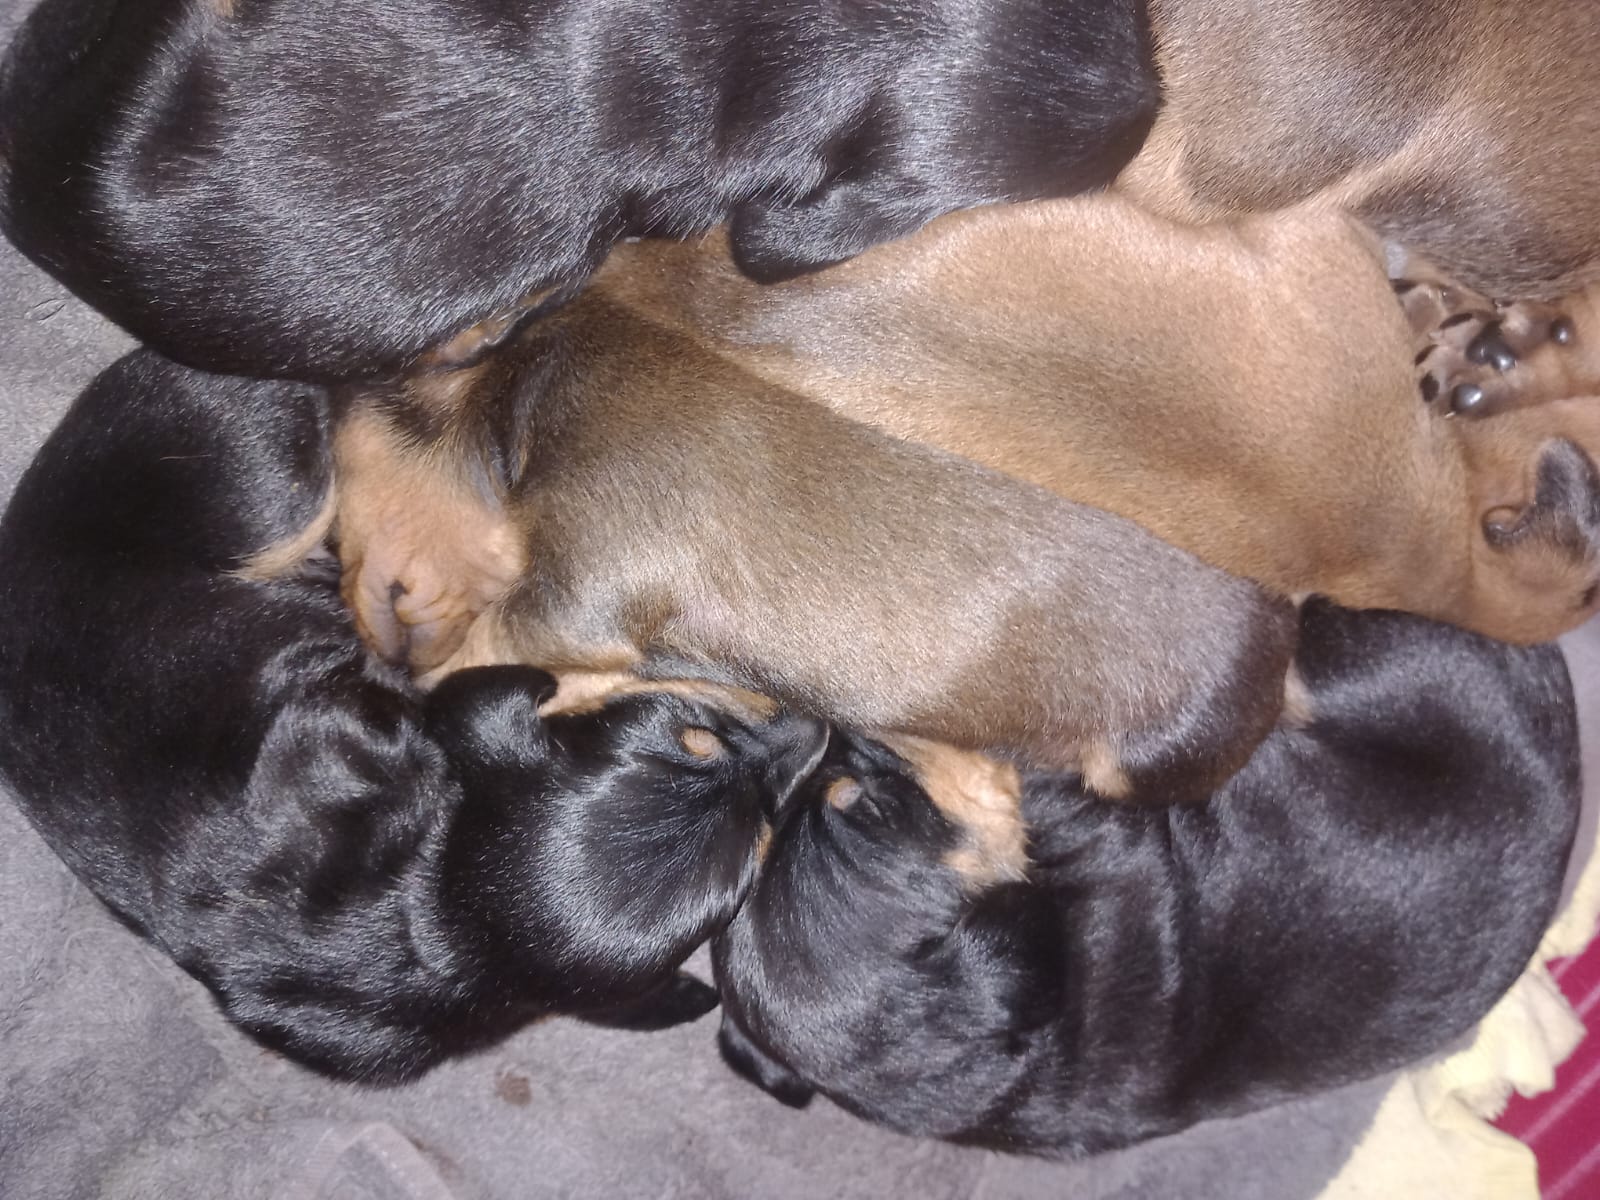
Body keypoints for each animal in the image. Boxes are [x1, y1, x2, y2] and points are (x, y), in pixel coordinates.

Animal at [332, 289, 1299, 803]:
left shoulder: (583, 584)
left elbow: (481, 655)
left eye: (340, 491)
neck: (517, 394)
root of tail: (1280, 660)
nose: (366, 643)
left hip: (1140, 760)